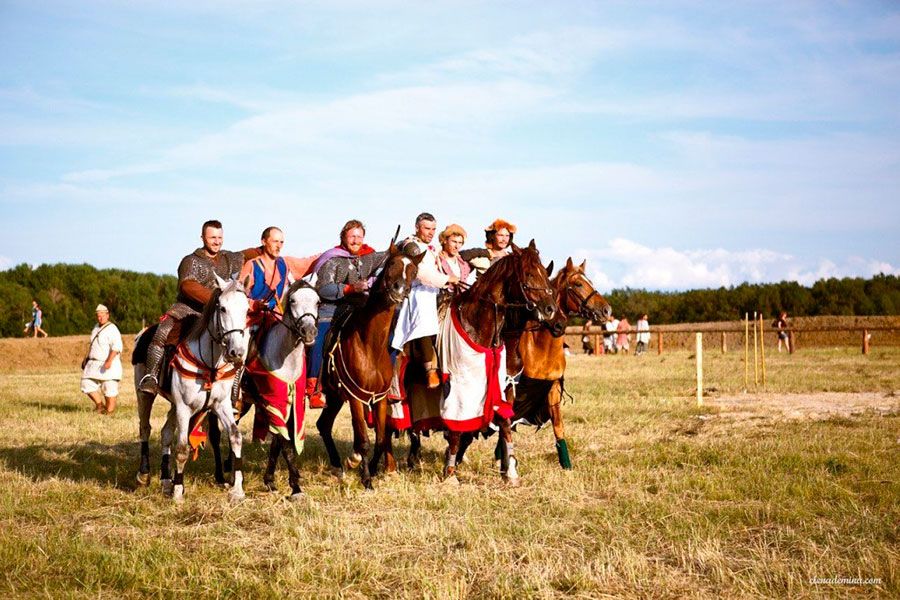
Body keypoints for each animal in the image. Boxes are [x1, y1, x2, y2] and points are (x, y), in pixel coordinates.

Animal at [314, 243, 424, 488]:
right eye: (391, 264)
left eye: (414, 270)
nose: (398, 290)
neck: (370, 344)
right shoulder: (356, 397)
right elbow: (363, 439)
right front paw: (366, 478)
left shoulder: (380, 398)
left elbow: (381, 438)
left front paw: (372, 469)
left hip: (334, 397)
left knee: (324, 425)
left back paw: (337, 467)